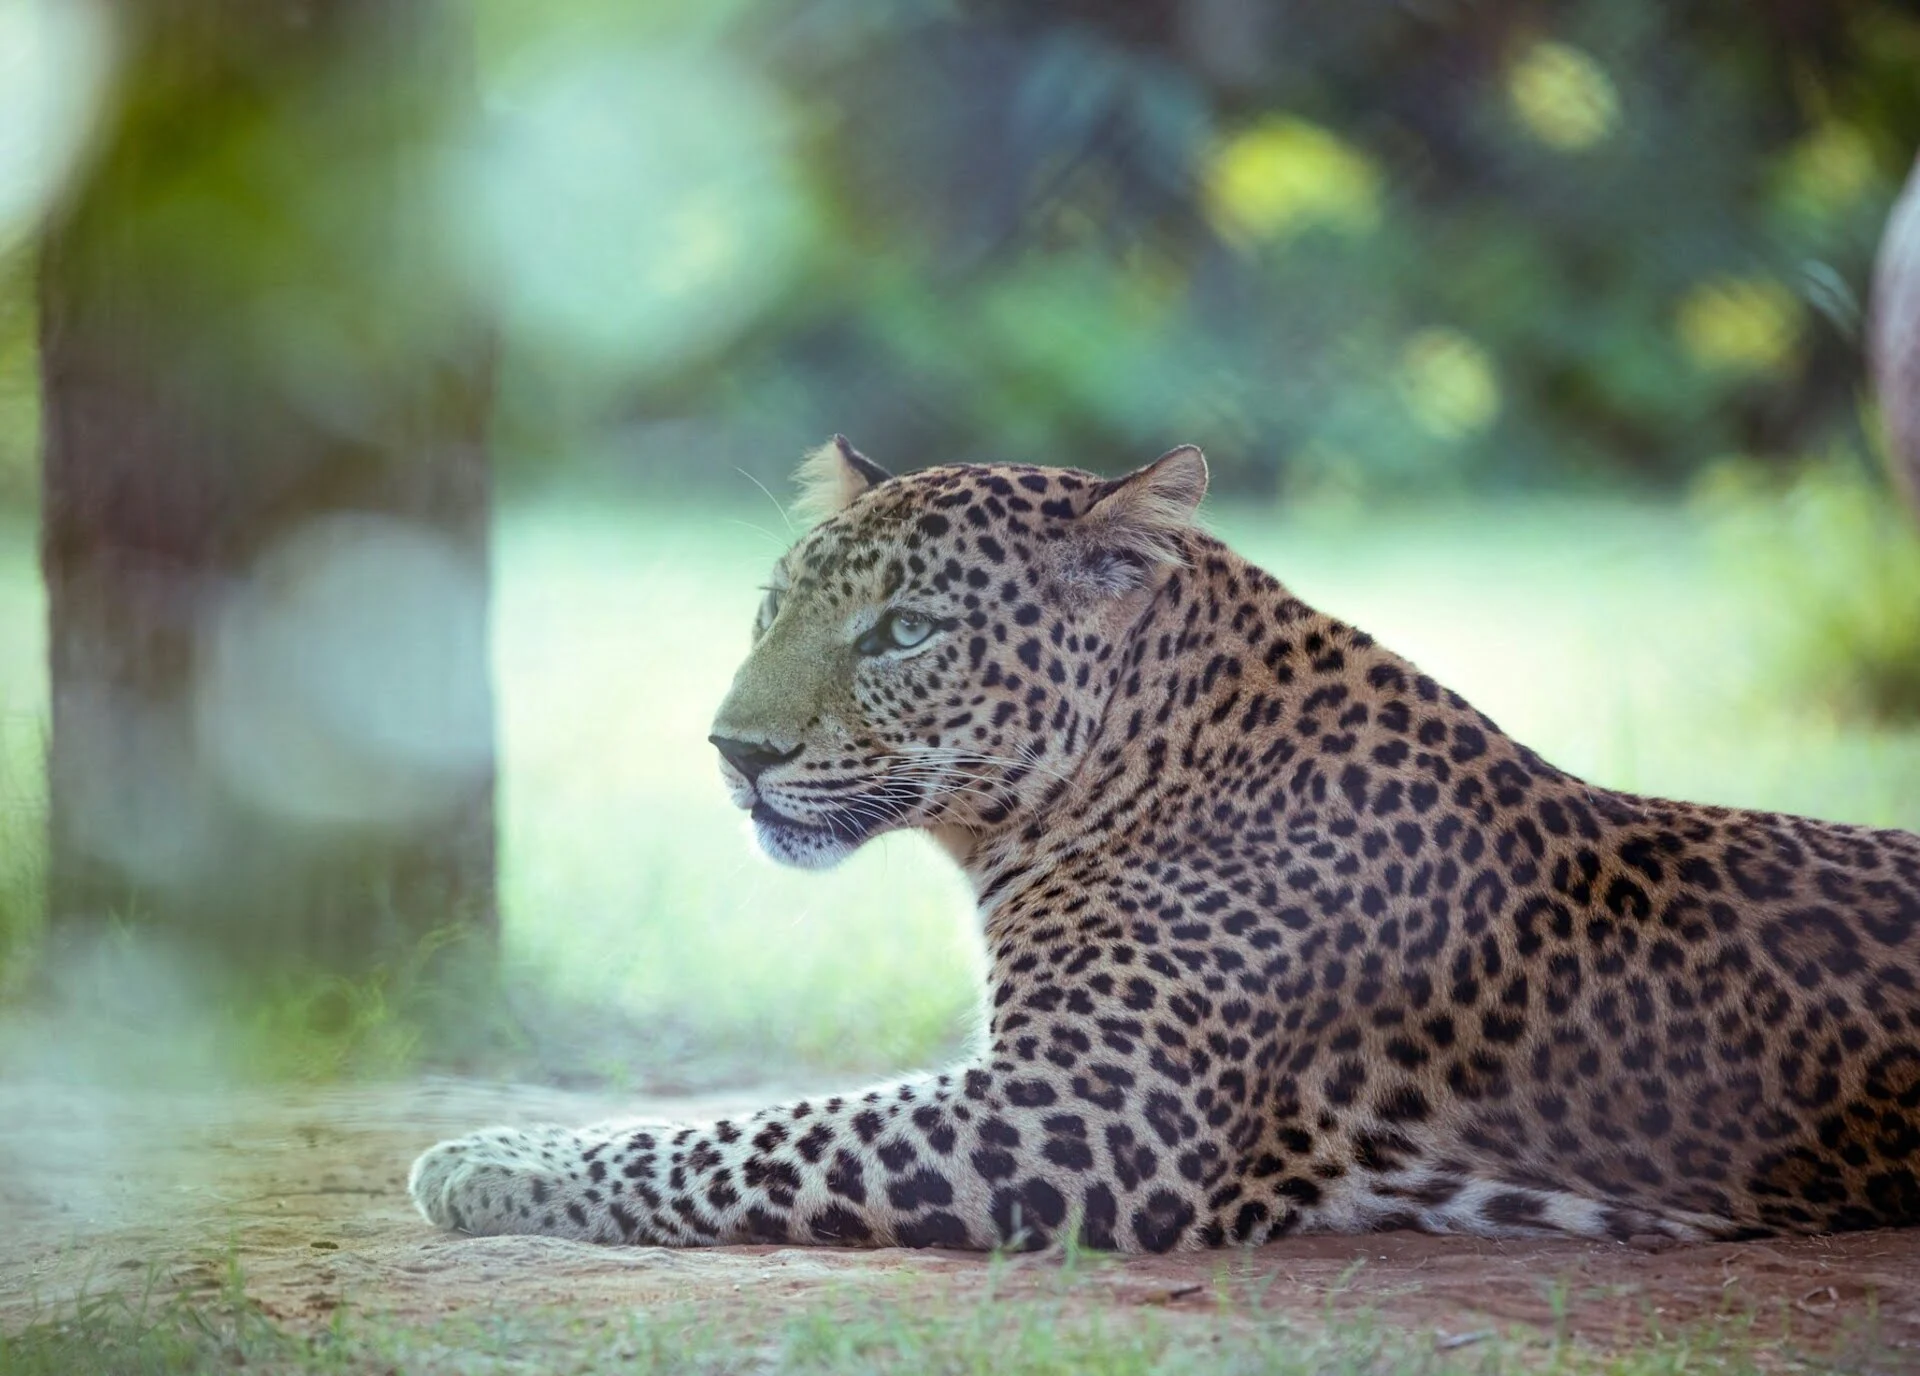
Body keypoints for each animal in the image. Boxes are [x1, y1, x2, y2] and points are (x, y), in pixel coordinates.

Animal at [412, 437, 1920, 1243]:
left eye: (903, 631)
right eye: (772, 609)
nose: (734, 752)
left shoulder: (1088, 1114)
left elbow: (748, 1136)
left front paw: (489, 1163)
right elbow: (762, 1113)